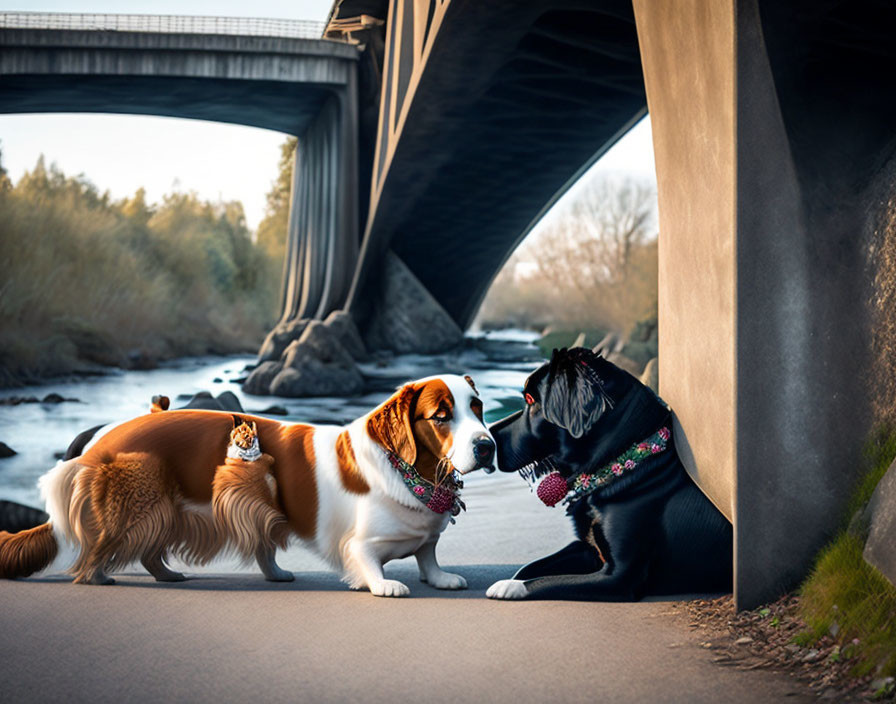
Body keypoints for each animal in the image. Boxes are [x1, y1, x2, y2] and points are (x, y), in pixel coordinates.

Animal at [0, 374, 496, 592]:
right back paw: (99, 576)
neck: (412, 474)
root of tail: (102, 437)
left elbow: (428, 553)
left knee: (155, 549)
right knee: (102, 547)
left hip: (172, 508)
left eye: (479, 407)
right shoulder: (358, 544)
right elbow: (370, 563)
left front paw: (439, 576)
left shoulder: (425, 537)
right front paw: (383, 584)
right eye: (441, 416)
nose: (489, 446)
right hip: (141, 503)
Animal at [486, 346, 732, 600]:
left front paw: (509, 586)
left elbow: (545, 581)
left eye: (530, 400)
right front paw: (513, 578)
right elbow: (531, 566)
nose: (489, 433)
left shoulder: (620, 576)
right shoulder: (587, 548)